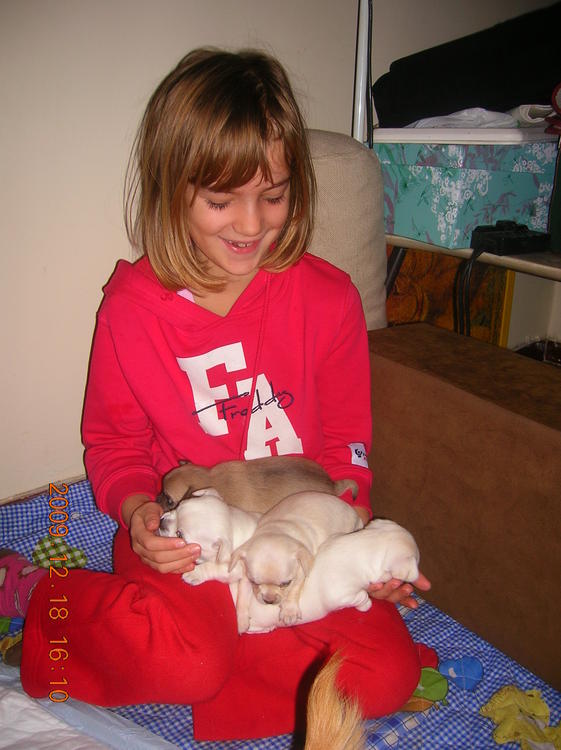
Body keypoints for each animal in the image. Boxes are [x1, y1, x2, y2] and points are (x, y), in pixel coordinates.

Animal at [228, 490, 364, 631]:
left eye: (286, 583)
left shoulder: (300, 573)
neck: (277, 530)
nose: (269, 601)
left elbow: (294, 589)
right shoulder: (245, 578)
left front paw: (289, 611)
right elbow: (242, 597)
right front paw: (241, 620)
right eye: (254, 582)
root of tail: (351, 509)